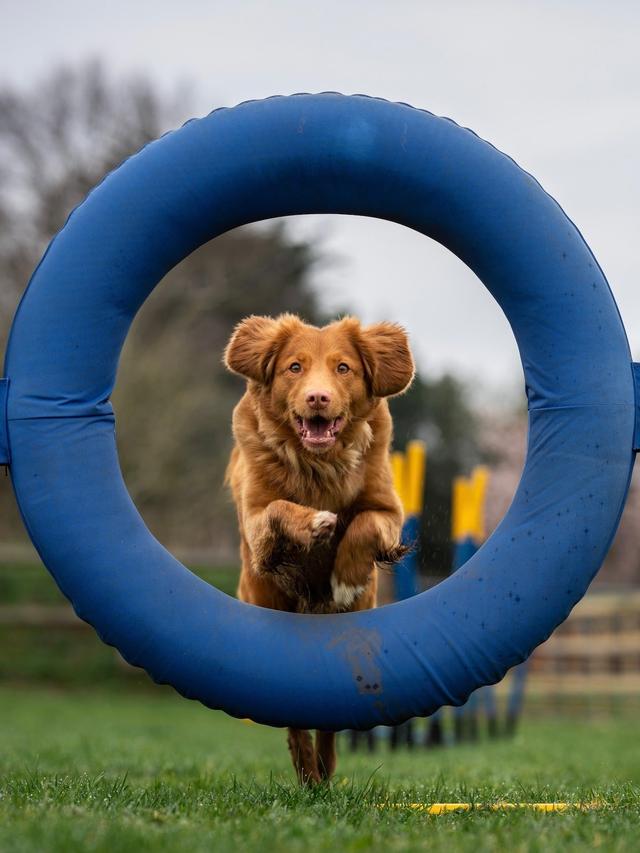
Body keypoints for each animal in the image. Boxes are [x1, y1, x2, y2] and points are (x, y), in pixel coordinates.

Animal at [225, 312, 416, 780]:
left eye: (343, 368)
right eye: (294, 367)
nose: (317, 397)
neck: (318, 464)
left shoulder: (387, 509)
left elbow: (363, 524)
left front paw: (344, 578)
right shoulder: (257, 523)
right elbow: (279, 507)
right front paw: (314, 522)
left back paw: (324, 768)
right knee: (294, 715)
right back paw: (308, 771)